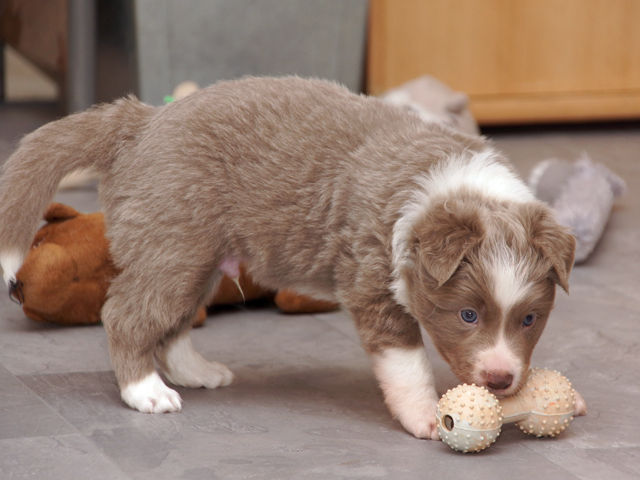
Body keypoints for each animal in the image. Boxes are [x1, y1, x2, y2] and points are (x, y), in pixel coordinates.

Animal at [0, 77, 578, 439]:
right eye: (468, 314)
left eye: (530, 319)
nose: (501, 381)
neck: (445, 186)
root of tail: (143, 119)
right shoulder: (372, 283)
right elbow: (407, 364)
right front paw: (427, 419)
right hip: (172, 243)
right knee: (128, 314)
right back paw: (145, 392)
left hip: (197, 255)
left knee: (172, 321)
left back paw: (194, 371)